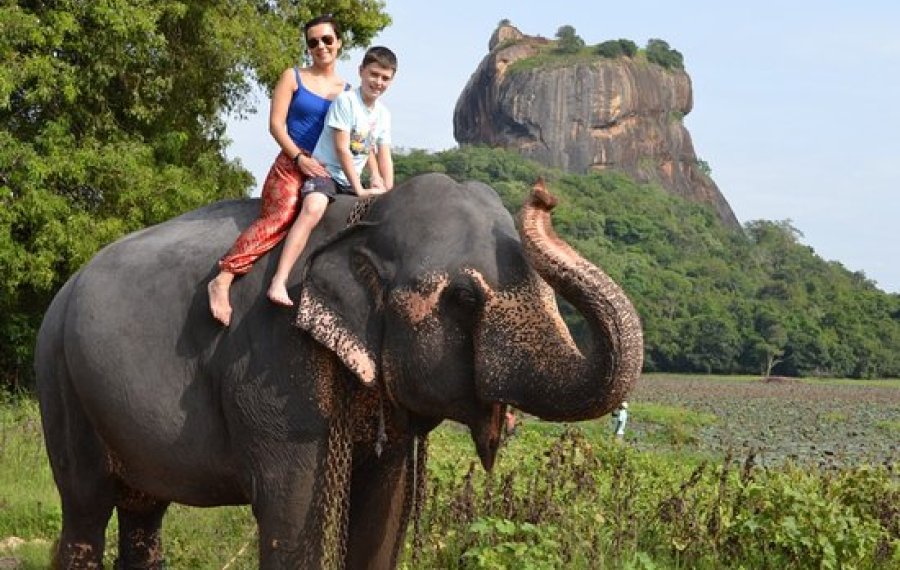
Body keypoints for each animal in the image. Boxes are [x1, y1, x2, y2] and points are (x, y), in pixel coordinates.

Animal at [33, 171, 640, 564]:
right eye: (466, 299)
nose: (544, 194)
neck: (362, 218)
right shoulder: (272, 366)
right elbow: (290, 511)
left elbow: (382, 511)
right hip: (60, 380)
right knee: (86, 506)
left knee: (143, 514)